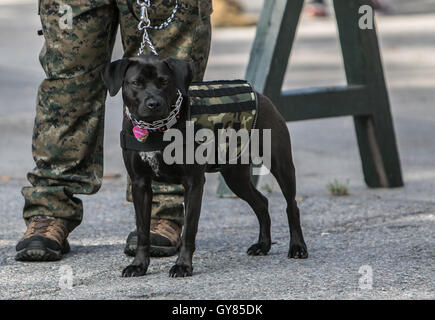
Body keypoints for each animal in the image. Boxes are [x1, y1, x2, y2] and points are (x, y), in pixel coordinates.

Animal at [102, 55, 308, 278]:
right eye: (136, 83)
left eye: (164, 81)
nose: (153, 103)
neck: (157, 129)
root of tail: (259, 95)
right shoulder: (140, 184)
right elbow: (142, 231)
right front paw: (139, 265)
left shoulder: (193, 184)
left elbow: (188, 232)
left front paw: (183, 265)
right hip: (235, 176)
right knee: (261, 203)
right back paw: (263, 245)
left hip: (281, 165)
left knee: (291, 205)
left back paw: (297, 246)